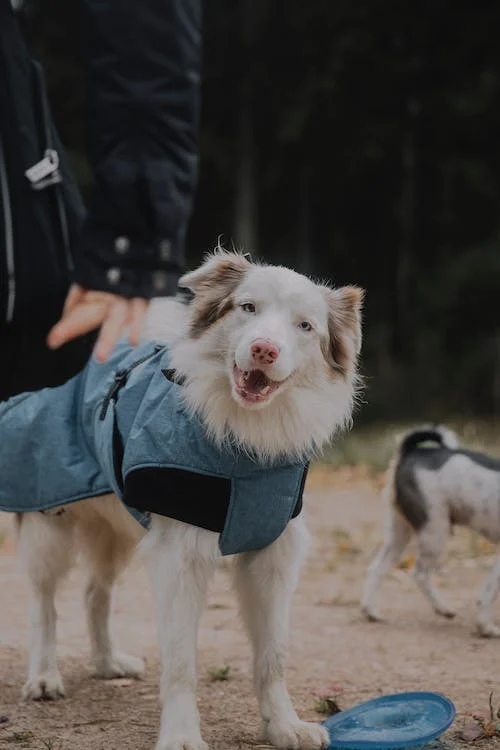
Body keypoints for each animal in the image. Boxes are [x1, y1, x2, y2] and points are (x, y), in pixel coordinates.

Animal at [11, 253, 364, 750]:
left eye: (305, 326)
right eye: (248, 307)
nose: (264, 350)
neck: (243, 446)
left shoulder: (273, 555)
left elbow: (274, 654)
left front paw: (283, 726)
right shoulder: (180, 556)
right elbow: (180, 662)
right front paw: (180, 735)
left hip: (117, 528)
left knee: (95, 591)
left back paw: (107, 662)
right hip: (49, 516)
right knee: (44, 601)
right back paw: (44, 677)